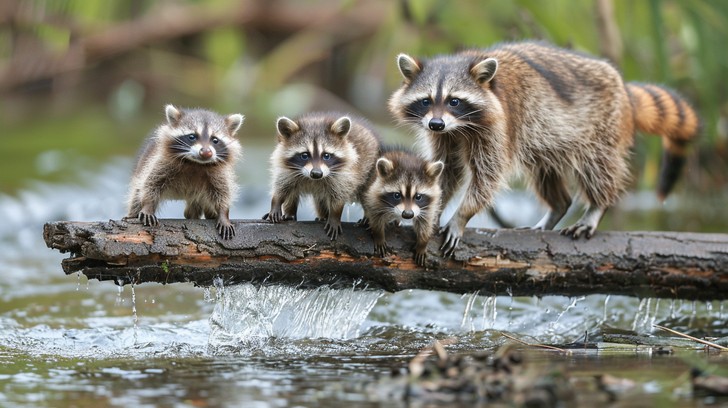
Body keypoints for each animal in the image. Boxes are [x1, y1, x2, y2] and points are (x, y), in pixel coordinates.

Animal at [126, 104, 244, 239]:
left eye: (215, 140)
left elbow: (223, 192)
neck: (196, 164)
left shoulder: (219, 173)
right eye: (192, 136)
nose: (206, 152)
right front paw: (147, 206)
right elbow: (151, 183)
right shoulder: (160, 162)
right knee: (136, 196)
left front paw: (224, 213)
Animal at [263, 112, 381, 240]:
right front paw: (276, 203)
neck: (312, 179)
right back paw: (295, 214)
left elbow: (339, 195)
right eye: (304, 155)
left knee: (367, 193)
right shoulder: (287, 170)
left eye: (326, 155)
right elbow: (282, 187)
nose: (316, 173)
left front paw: (334, 216)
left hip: (370, 170)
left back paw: (367, 216)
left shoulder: (343, 175)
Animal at [388, 41, 700, 256]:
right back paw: (558, 207)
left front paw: (461, 216)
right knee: (544, 172)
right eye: (426, 101)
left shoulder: (499, 126)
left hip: (602, 127)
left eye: (454, 101)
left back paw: (597, 206)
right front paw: (434, 208)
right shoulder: (446, 136)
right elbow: (447, 170)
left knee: (597, 168)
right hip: (547, 141)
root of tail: (625, 92)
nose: (436, 123)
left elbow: (488, 175)